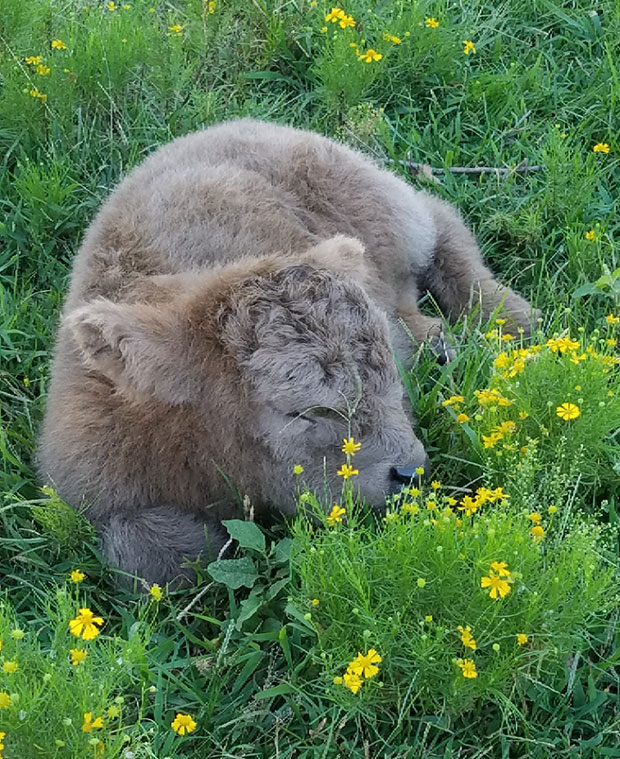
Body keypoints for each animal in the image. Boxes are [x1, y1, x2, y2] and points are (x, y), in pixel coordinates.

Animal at [36, 119, 536, 584]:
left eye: (390, 384)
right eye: (300, 412)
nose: (410, 472)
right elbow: (155, 557)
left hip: (387, 208)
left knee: (440, 221)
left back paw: (512, 322)